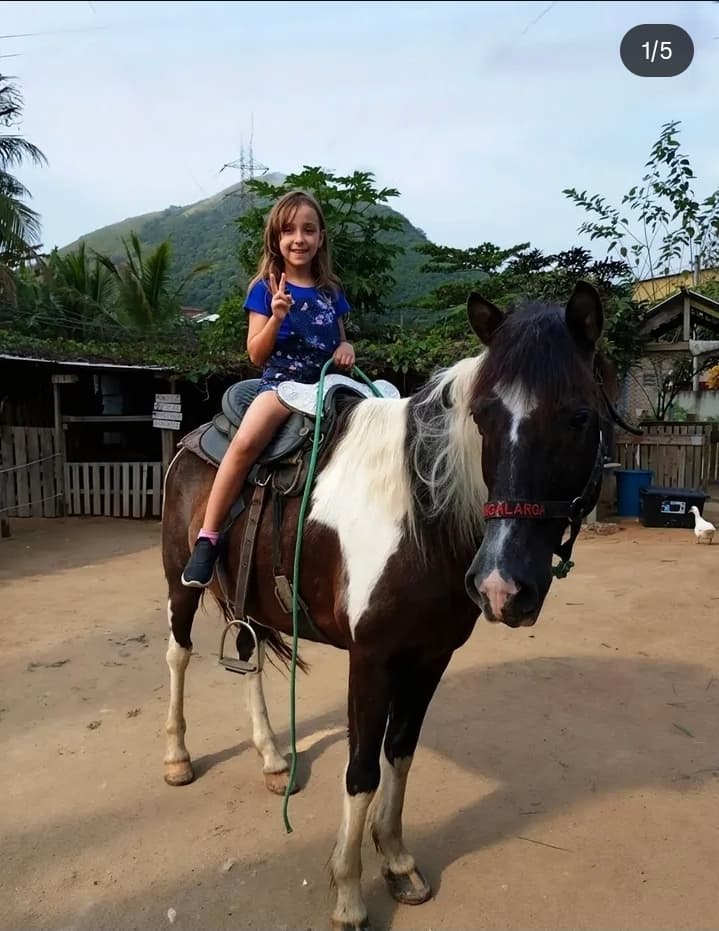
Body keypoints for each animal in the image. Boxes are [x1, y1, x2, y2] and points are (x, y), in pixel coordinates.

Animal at [161, 281, 613, 931]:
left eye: (581, 417)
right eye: (483, 418)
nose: (501, 586)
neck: (421, 516)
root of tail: (198, 434)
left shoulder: (430, 656)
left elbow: (400, 753)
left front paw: (397, 860)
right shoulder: (371, 660)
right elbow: (361, 770)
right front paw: (349, 893)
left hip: (249, 596)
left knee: (248, 658)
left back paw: (273, 759)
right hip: (181, 582)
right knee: (177, 655)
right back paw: (177, 756)